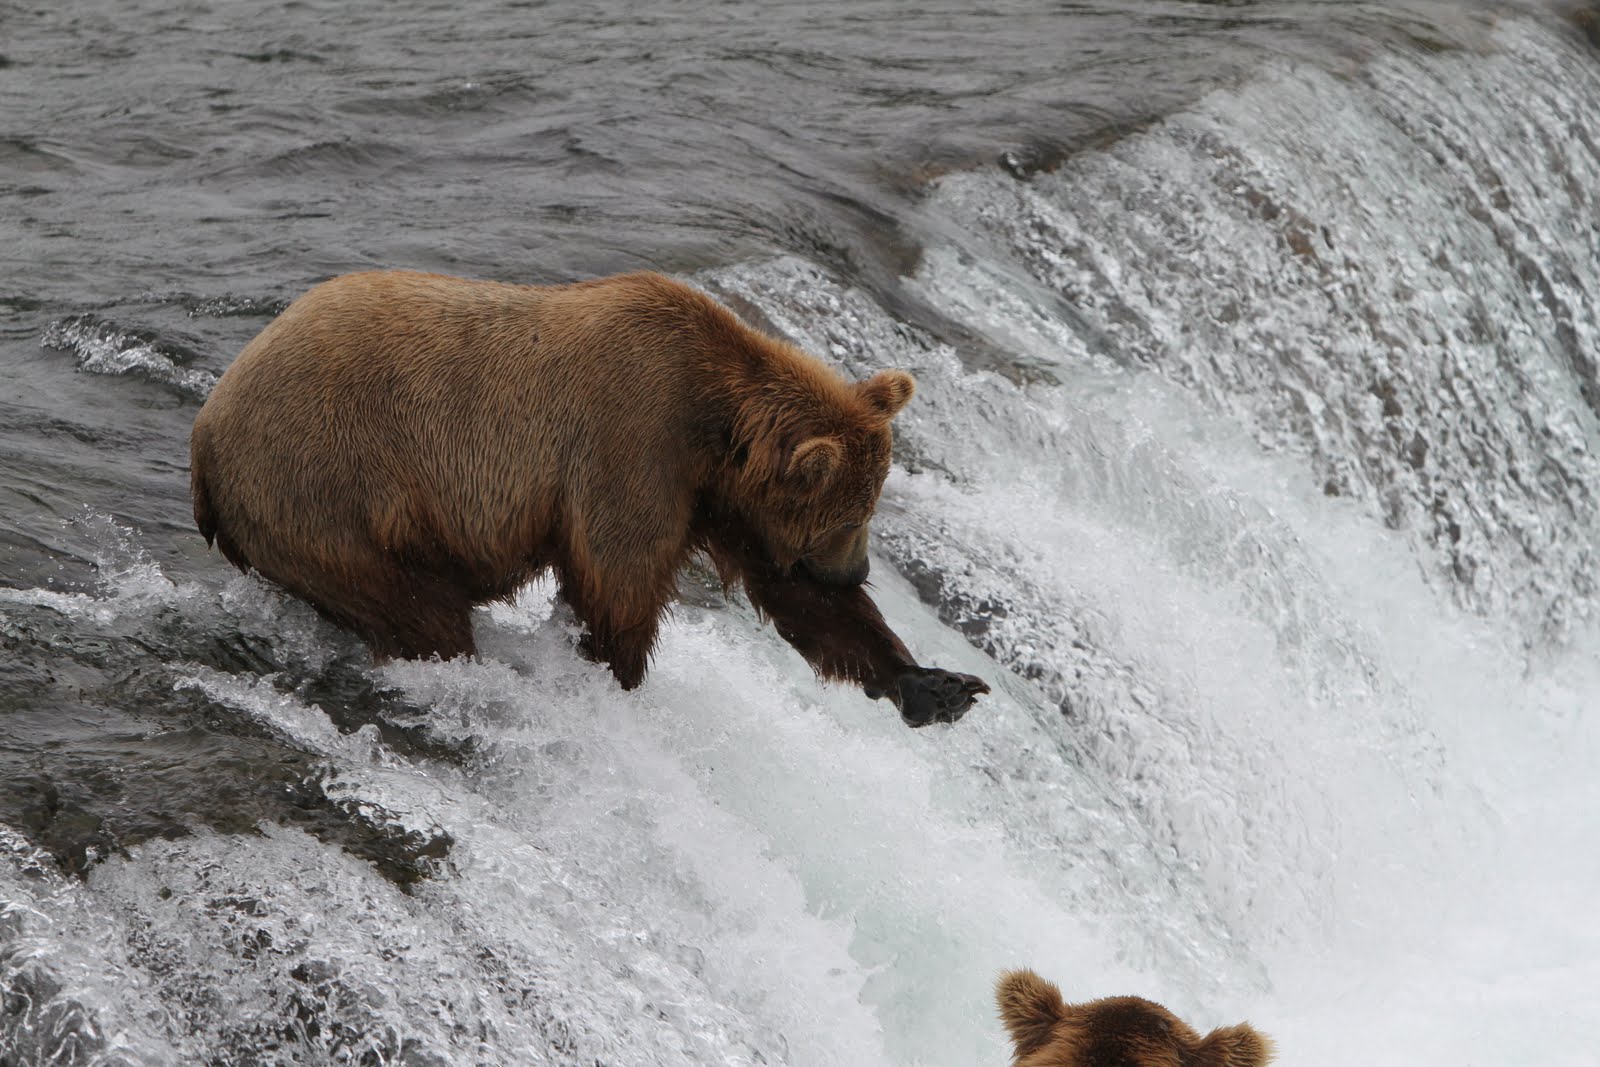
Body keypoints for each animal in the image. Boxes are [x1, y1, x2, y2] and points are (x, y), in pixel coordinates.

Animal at [189, 269, 988, 726]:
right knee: (416, 607)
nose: (855, 570)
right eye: (851, 517)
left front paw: (937, 684)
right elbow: (617, 585)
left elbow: (798, 601)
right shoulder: (632, 444)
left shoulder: (715, 498)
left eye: (870, 508)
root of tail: (203, 430)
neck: (717, 424)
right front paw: (615, 676)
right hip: (329, 488)